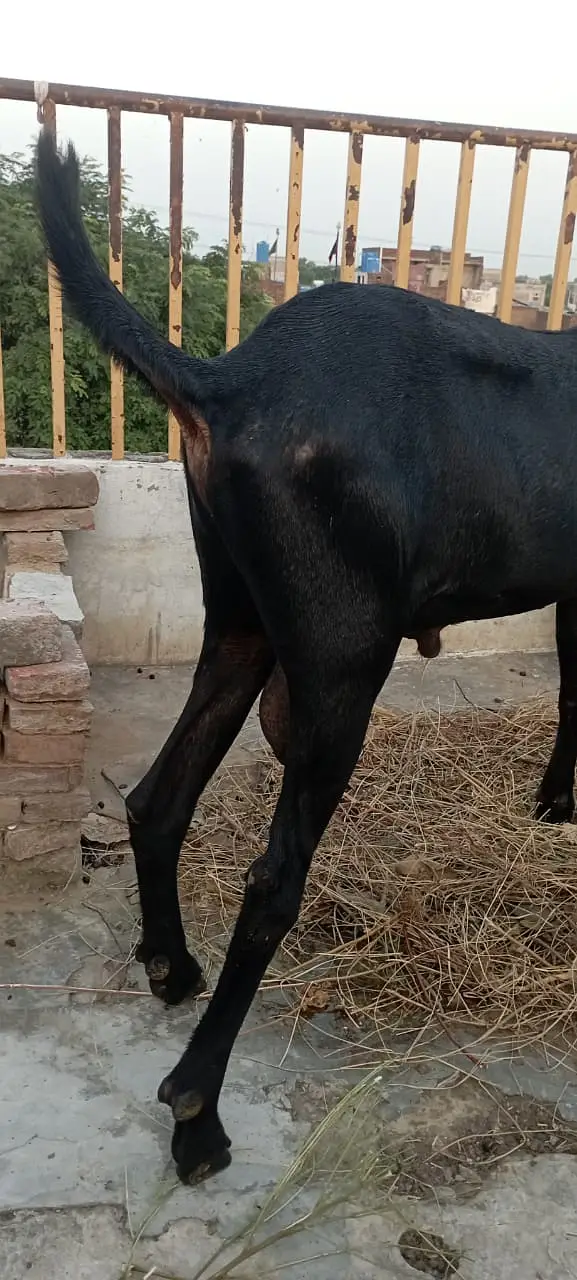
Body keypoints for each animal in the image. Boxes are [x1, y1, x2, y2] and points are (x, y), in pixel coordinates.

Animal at [35, 129, 577, 1184]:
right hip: (338, 668)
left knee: (160, 798)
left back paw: (170, 964)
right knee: (270, 883)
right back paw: (196, 1110)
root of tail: (236, 381)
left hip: (242, 626)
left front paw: (552, 808)